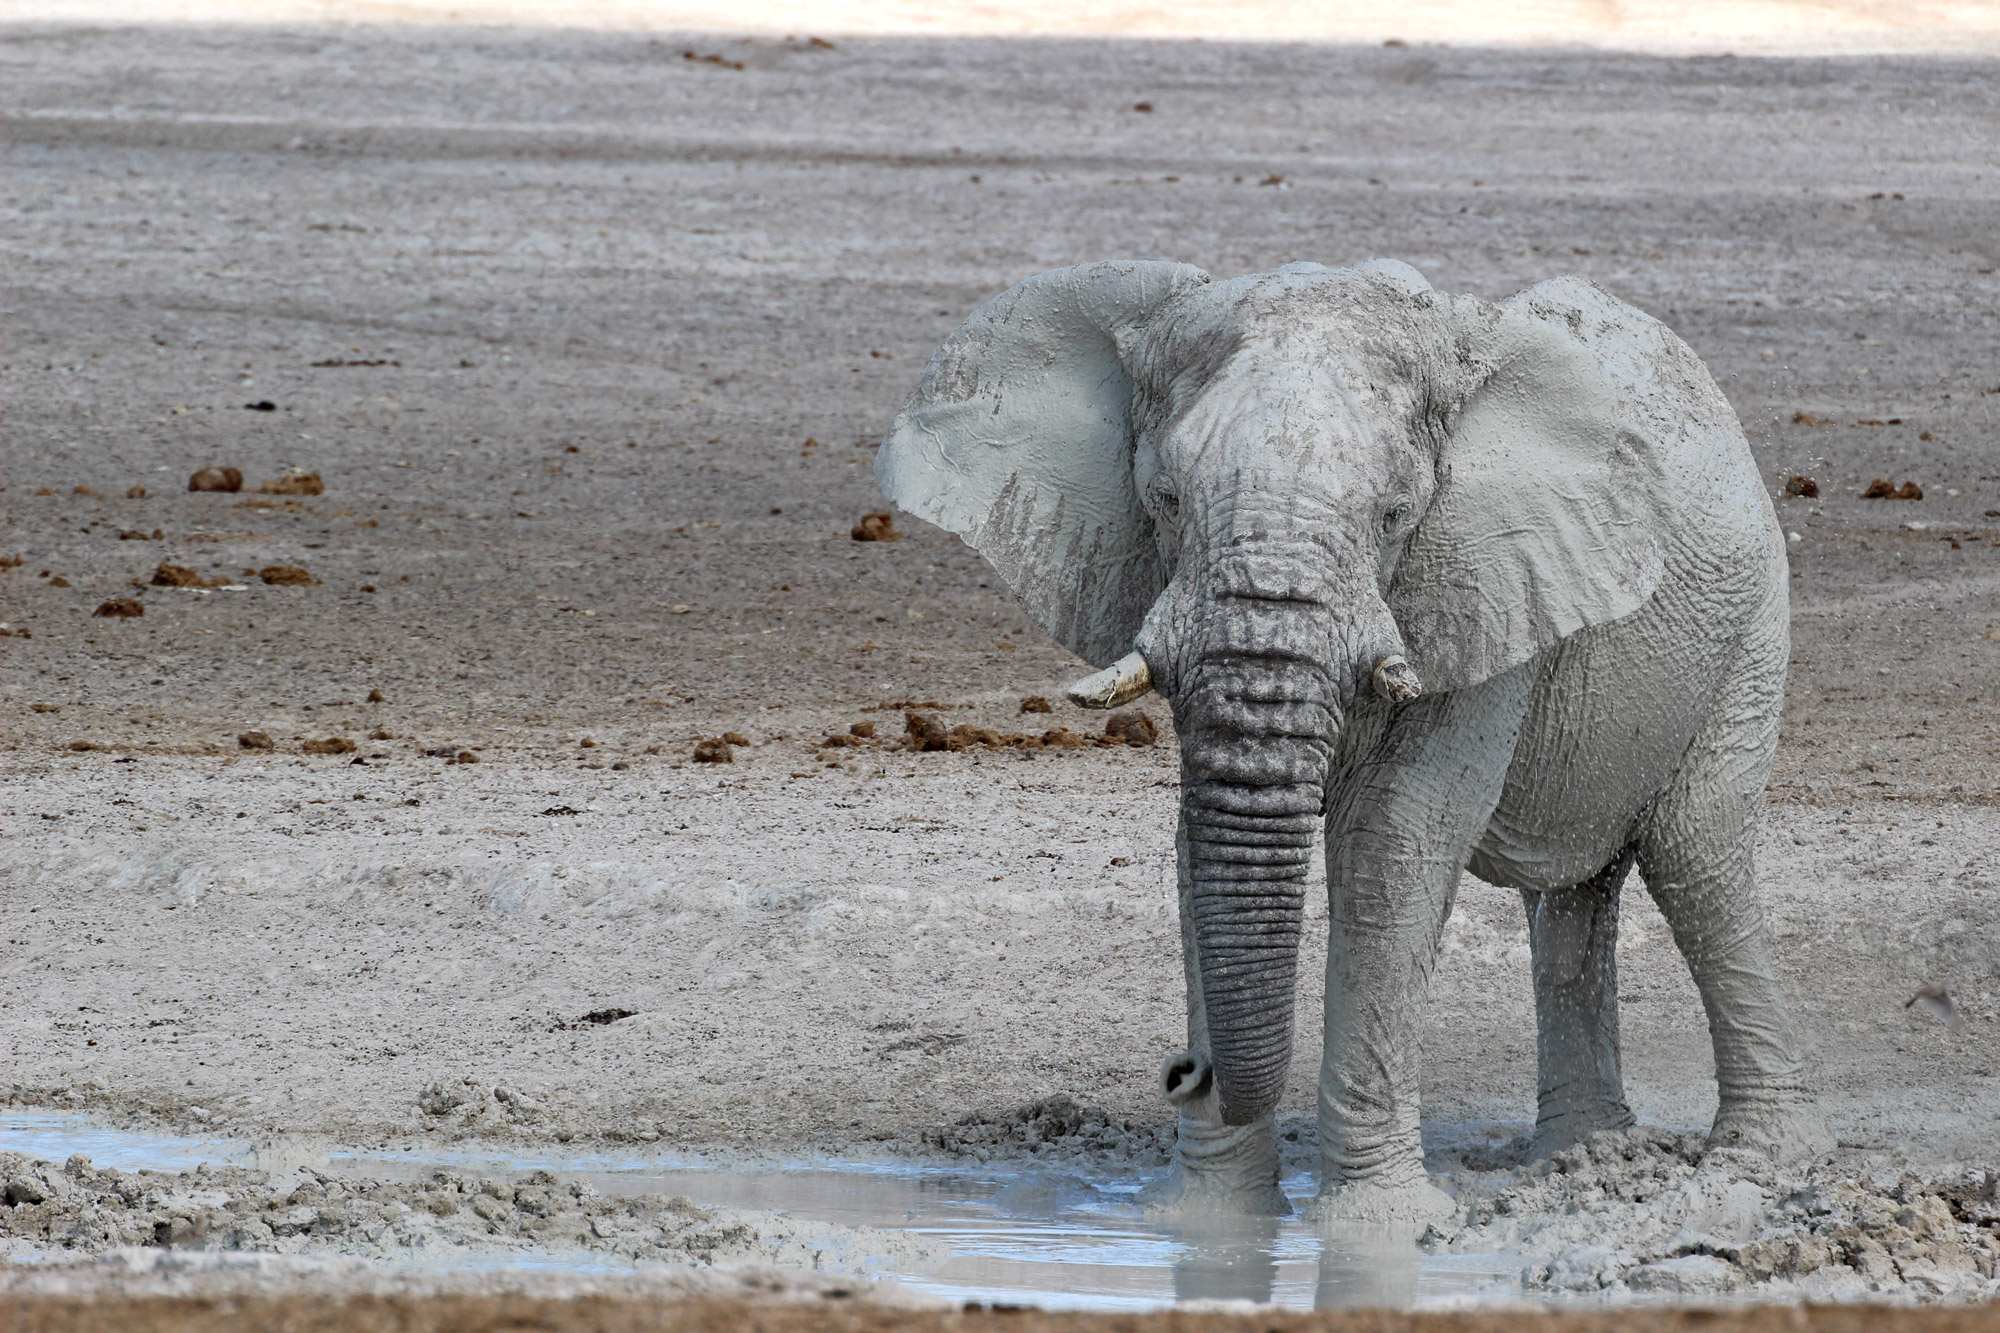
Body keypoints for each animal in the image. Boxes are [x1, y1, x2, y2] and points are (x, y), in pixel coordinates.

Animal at [876, 256, 1832, 1216]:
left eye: (1395, 514)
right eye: (1166, 501)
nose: (1185, 1072)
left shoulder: (1481, 582)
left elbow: (1392, 842)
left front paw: (1376, 1225)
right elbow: (1197, 849)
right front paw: (1213, 1224)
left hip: (1752, 625)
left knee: (1696, 859)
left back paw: (1753, 1163)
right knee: (1572, 901)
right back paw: (1577, 1156)